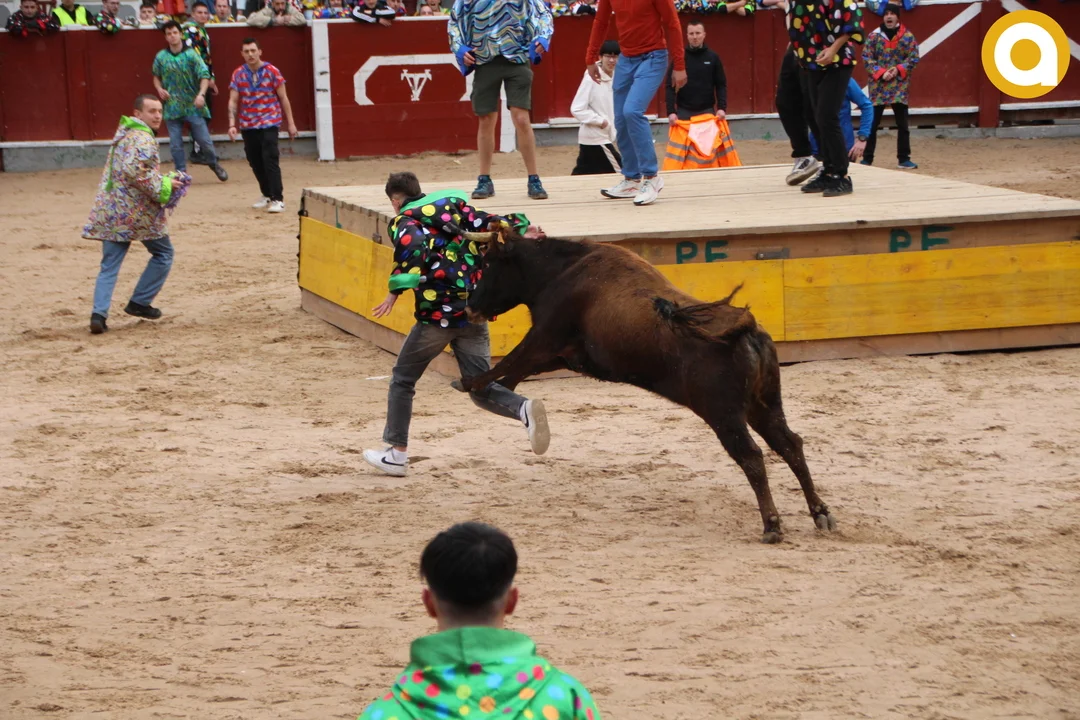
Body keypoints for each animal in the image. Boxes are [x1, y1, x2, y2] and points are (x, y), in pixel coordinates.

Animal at [454, 223, 836, 544]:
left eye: (488, 263)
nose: (470, 307)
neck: (561, 270)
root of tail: (746, 329)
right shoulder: (569, 354)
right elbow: (520, 369)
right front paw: (501, 390)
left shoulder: (545, 334)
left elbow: (512, 358)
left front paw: (471, 382)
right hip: (764, 404)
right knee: (790, 444)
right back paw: (821, 514)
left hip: (724, 414)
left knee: (752, 456)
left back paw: (772, 525)